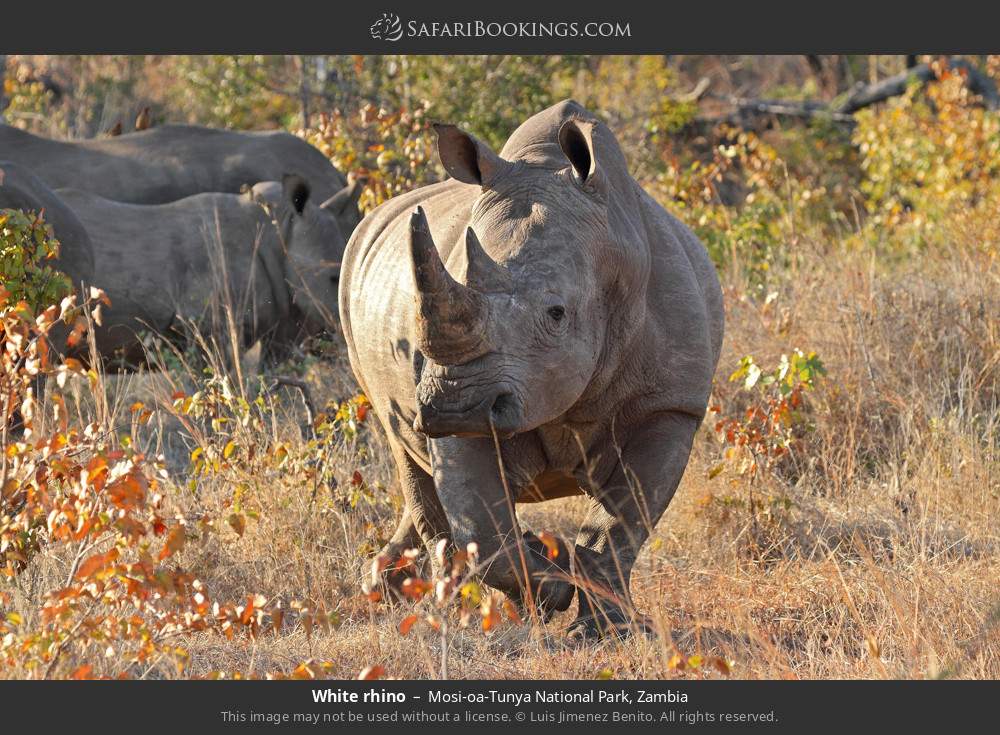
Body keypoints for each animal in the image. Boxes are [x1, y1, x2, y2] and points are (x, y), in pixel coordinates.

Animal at [340, 99, 724, 640]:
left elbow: (620, 526)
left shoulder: (669, 404)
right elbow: (483, 531)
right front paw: (550, 588)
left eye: (556, 313)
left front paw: (606, 631)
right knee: (409, 457)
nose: (454, 405)